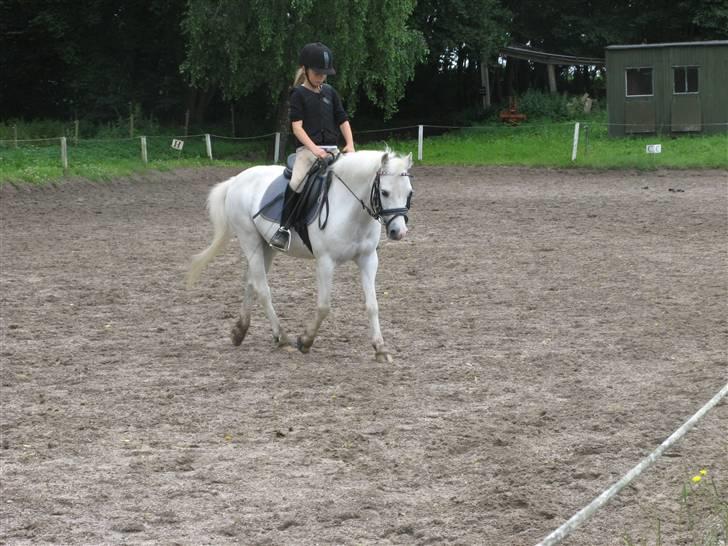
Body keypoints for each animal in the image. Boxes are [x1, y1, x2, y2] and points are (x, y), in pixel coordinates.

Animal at [186, 149, 414, 362]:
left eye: (409, 193)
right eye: (384, 192)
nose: (399, 232)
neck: (351, 209)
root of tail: (237, 179)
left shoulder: (368, 259)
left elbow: (372, 305)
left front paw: (380, 349)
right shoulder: (325, 262)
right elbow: (324, 306)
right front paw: (305, 340)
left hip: (265, 246)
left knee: (251, 282)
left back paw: (239, 331)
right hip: (249, 239)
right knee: (262, 288)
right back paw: (282, 338)